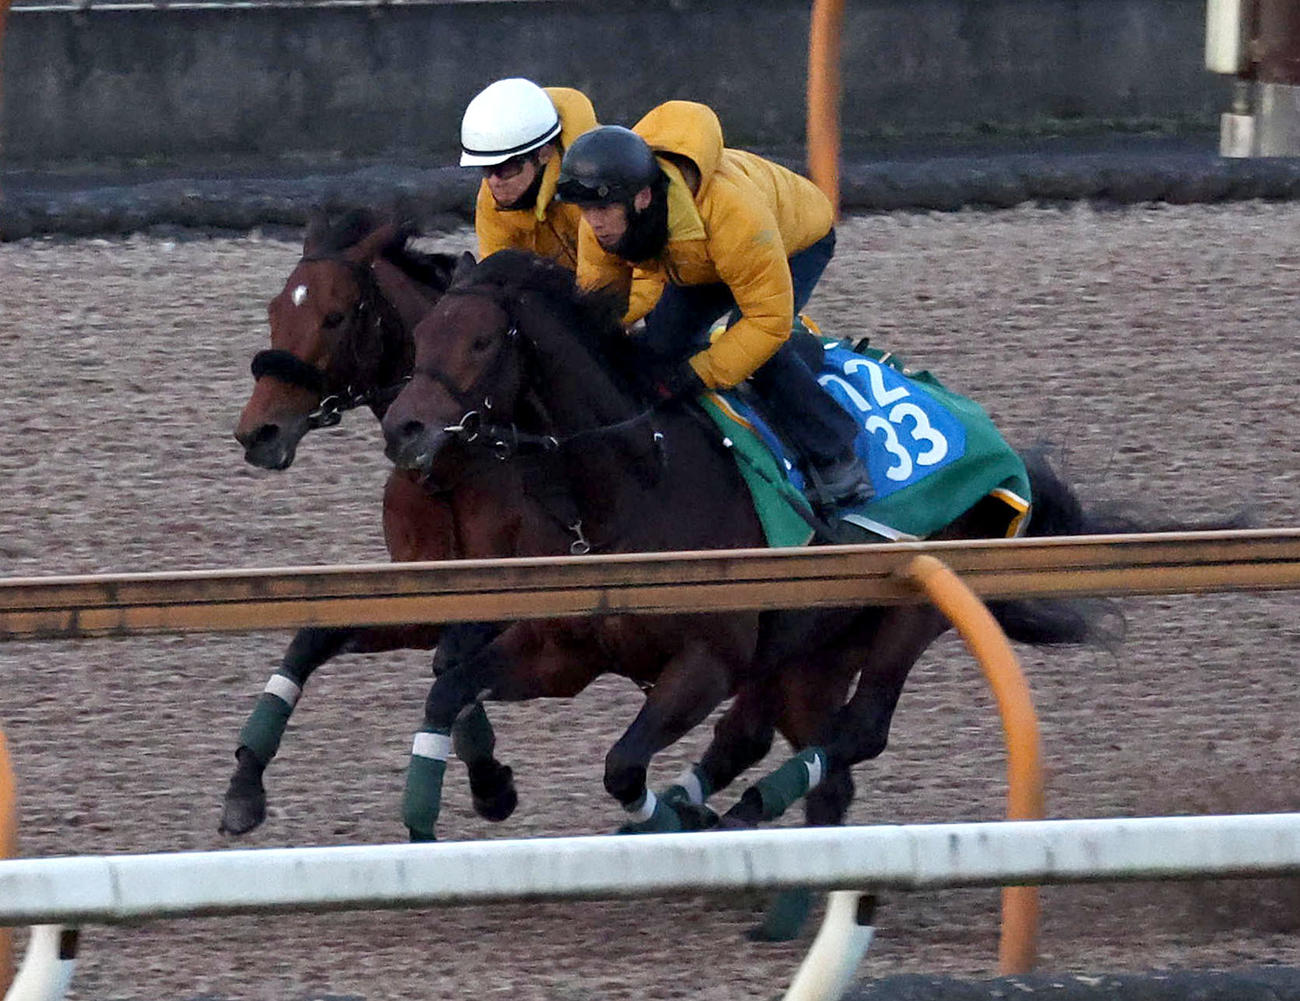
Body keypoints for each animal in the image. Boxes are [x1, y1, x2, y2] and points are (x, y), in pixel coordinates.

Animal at [222, 210, 533, 836]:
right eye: (274, 310)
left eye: (335, 316)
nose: (257, 432)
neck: (451, 465)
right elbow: (312, 639)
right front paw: (244, 782)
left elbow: (451, 664)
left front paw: (484, 781)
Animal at [378, 248, 1167, 851]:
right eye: (419, 340)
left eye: (482, 342)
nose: (403, 428)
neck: (635, 482)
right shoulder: (561, 651)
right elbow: (451, 686)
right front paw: (448, 806)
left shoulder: (707, 660)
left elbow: (622, 766)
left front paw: (663, 821)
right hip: (811, 647)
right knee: (783, 748)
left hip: (907, 611)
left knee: (857, 731)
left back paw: (742, 811)